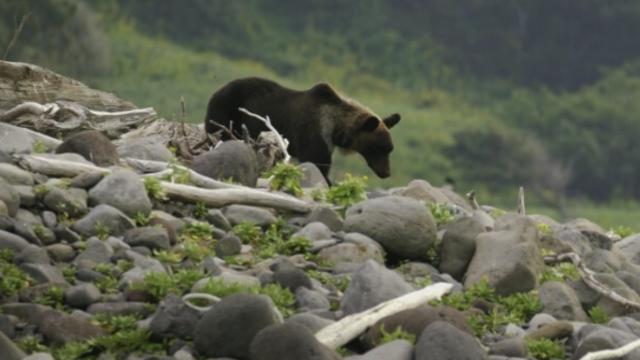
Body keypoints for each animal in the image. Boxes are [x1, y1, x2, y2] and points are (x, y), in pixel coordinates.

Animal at [202, 77, 400, 181]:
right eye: (379, 148)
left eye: (389, 149)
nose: (386, 172)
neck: (337, 129)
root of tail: (217, 90)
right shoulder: (314, 133)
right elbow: (317, 163)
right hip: (226, 111)